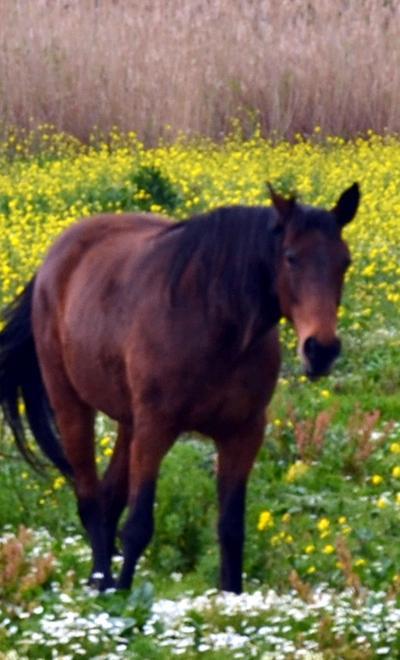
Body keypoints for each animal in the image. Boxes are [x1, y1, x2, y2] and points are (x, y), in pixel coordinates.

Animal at [0, 183, 360, 593]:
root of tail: (54, 260)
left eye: (344, 262)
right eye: (291, 258)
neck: (215, 324)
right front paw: (125, 602)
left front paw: (234, 601)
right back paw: (103, 583)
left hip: (128, 422)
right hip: (72, 404)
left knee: (108, 499)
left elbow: (231, 529)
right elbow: (139, 526)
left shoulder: (243, 433)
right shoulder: (157, 427)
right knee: (90, 498)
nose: (321, 350)